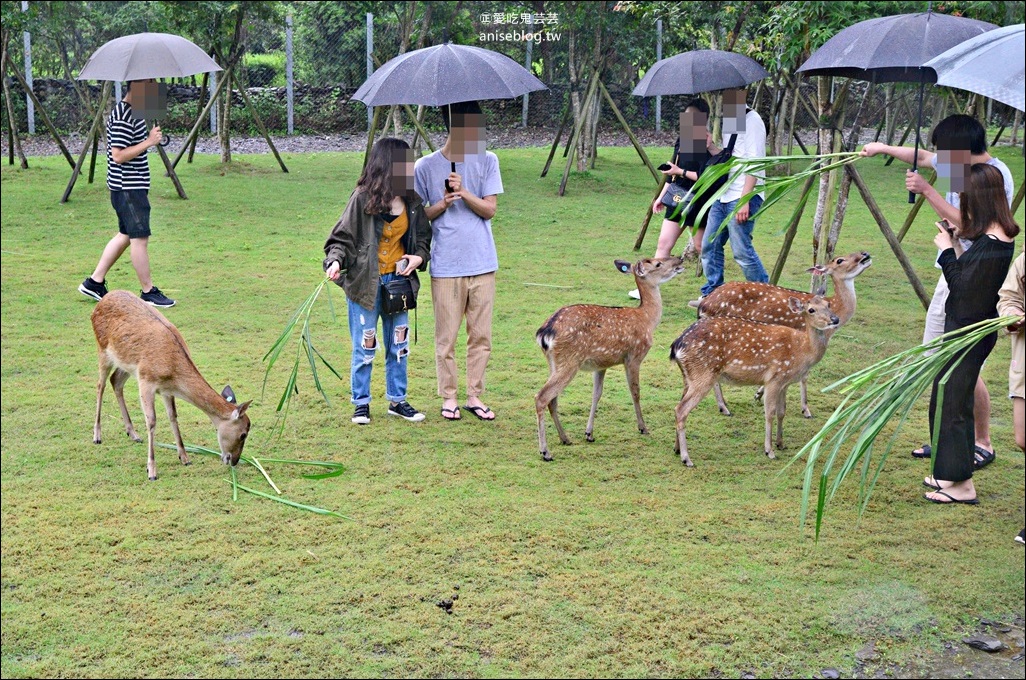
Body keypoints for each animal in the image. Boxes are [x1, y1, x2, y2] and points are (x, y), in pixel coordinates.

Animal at [91, 289, 252, 482]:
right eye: (243, 434)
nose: (234, 460)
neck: (172, 369)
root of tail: (102, 301)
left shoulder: (166, 390)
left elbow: (173, 416)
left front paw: (185, 457)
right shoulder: (146, 381)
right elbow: (152, 421)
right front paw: (151, 470)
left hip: (126, 364)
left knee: (115, 381)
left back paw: (133, 434)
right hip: (103, 350)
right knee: (100, 385)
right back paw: (97, 436)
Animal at [529, 255, 689, 463]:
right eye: (657, 263)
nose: (679, 258)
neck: (647, 320)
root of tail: (544, 333)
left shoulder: (601, 365)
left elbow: (596, 394)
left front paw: (589, 433)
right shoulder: (634, 356)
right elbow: (635, 392)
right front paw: (643, 428)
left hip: (554, 362)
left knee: (552, 399)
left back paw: (565, 438)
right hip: (570, 361)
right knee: (542, 396)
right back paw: (545, 452)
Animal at [668, 297, 837, 467]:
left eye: (828, 304)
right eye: (811, 310)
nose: (835, 319)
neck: (801, 349)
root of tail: (676, 345)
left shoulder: (785, 383)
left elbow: (782, 412)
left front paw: (781, 444)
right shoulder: (774, 378)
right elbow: (769, 413)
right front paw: (769, 451)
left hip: (688, 376)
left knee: (678, 407)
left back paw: (676, 449)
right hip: (702, 374)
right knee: (681, 410)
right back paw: (686, 458)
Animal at [697, 251, 874, 418]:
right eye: (839, 260)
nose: (865, 254)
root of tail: (704, 305)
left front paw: (758, 394)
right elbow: (804, 375)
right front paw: (805, 410)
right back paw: (724, 407)